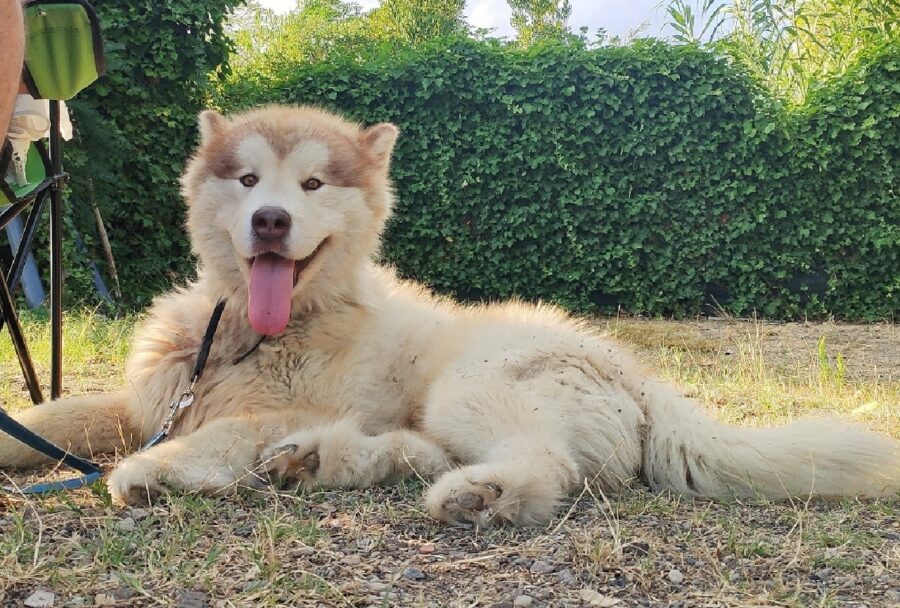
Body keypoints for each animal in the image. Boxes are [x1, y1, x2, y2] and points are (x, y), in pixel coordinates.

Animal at [1, 107, 900, 524]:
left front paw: (152, 470)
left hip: (472, 385)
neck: (254, 335)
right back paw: (321, 462)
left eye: (314, 184)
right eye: (249, 180)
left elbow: (221, 433)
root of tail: (642, 375)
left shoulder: (274, 406)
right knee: (418, 451)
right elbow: (53, 416)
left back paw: (482, 494)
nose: (271, 222)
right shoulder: (141, 402)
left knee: (544, 465)